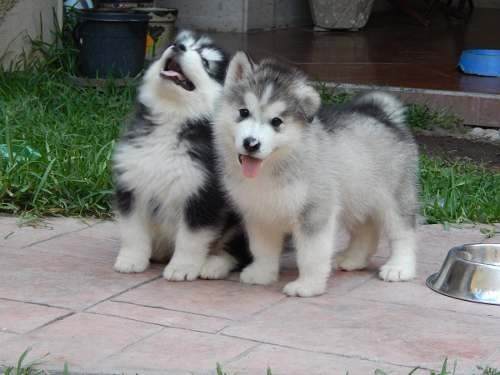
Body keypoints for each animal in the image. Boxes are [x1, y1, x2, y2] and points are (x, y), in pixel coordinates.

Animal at [111, 30, 248, 280]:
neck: (172, 118)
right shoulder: (132, 184)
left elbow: (191, 238)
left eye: (206, 61)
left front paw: (182, 268)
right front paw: (131, 259)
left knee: (239, 252)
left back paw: (213, 264)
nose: (178, 46)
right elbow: (133, 231)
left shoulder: (202, 195)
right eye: (182, 42)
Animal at [213, 53, 420, 298]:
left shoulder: (314, 213)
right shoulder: (260, 214)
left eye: (277, 122)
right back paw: (353, 259)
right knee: (366, 230)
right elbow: (262, 249)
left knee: (403, 233)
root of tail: (383, 115)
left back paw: (400, 267)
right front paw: (262, 274)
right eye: (244, 112)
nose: (251, 144)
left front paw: (307, 286)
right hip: (356, 197)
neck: (272, 168)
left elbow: (311, 255)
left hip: (394, 197)